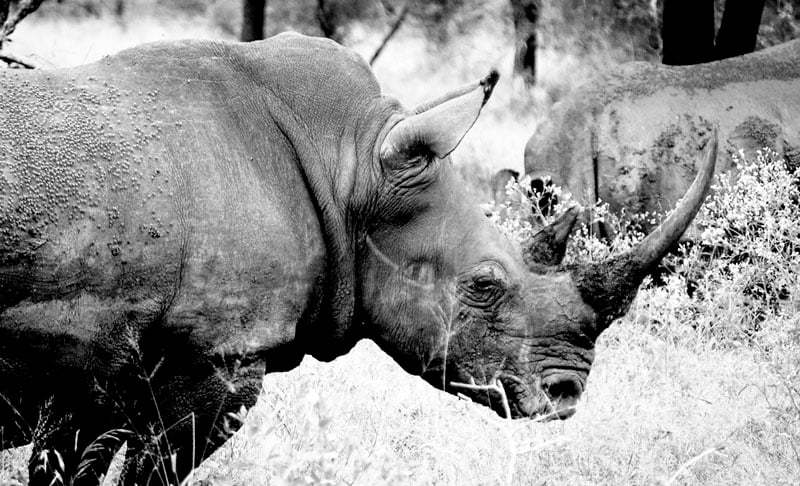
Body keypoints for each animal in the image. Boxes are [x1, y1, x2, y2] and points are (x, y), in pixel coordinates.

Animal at [1, 33, 715, 485]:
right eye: (484, 286)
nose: (567, 393)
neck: (350, 163)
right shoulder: (214, 355)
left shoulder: (93, 364)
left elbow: (66, 466)